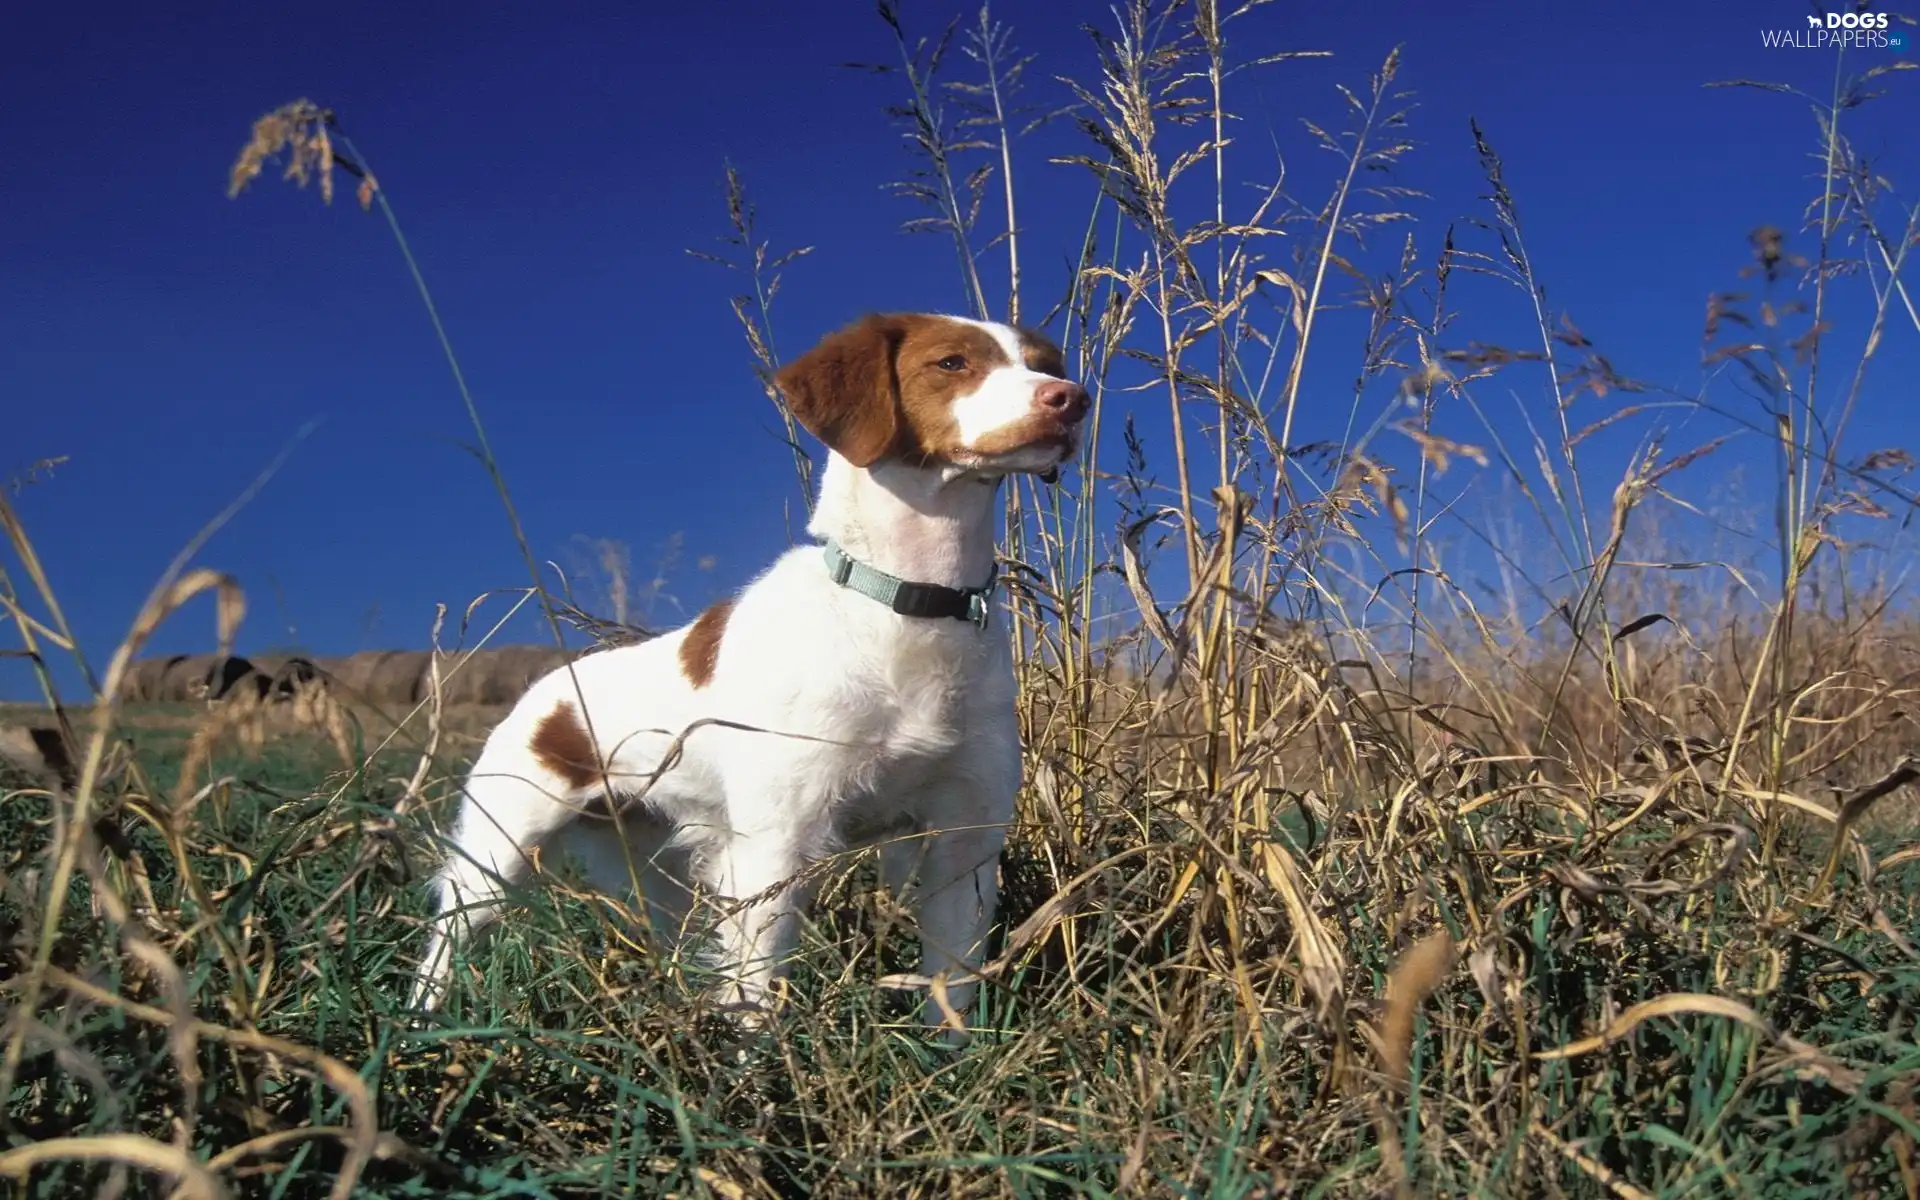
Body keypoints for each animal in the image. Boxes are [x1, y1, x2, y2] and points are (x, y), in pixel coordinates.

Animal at [410, 312, 1090, 1036]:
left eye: (1045, 363)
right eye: (952, 362)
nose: (1071, 399)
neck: (905, 603)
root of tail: (544, 689)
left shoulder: (965, 842)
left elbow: (951, 990)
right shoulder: (775, 845)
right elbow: (757, 996)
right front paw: (759, 1065)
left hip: (658, 871)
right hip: (499, 848)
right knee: (448, 936)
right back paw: (421, 1025)